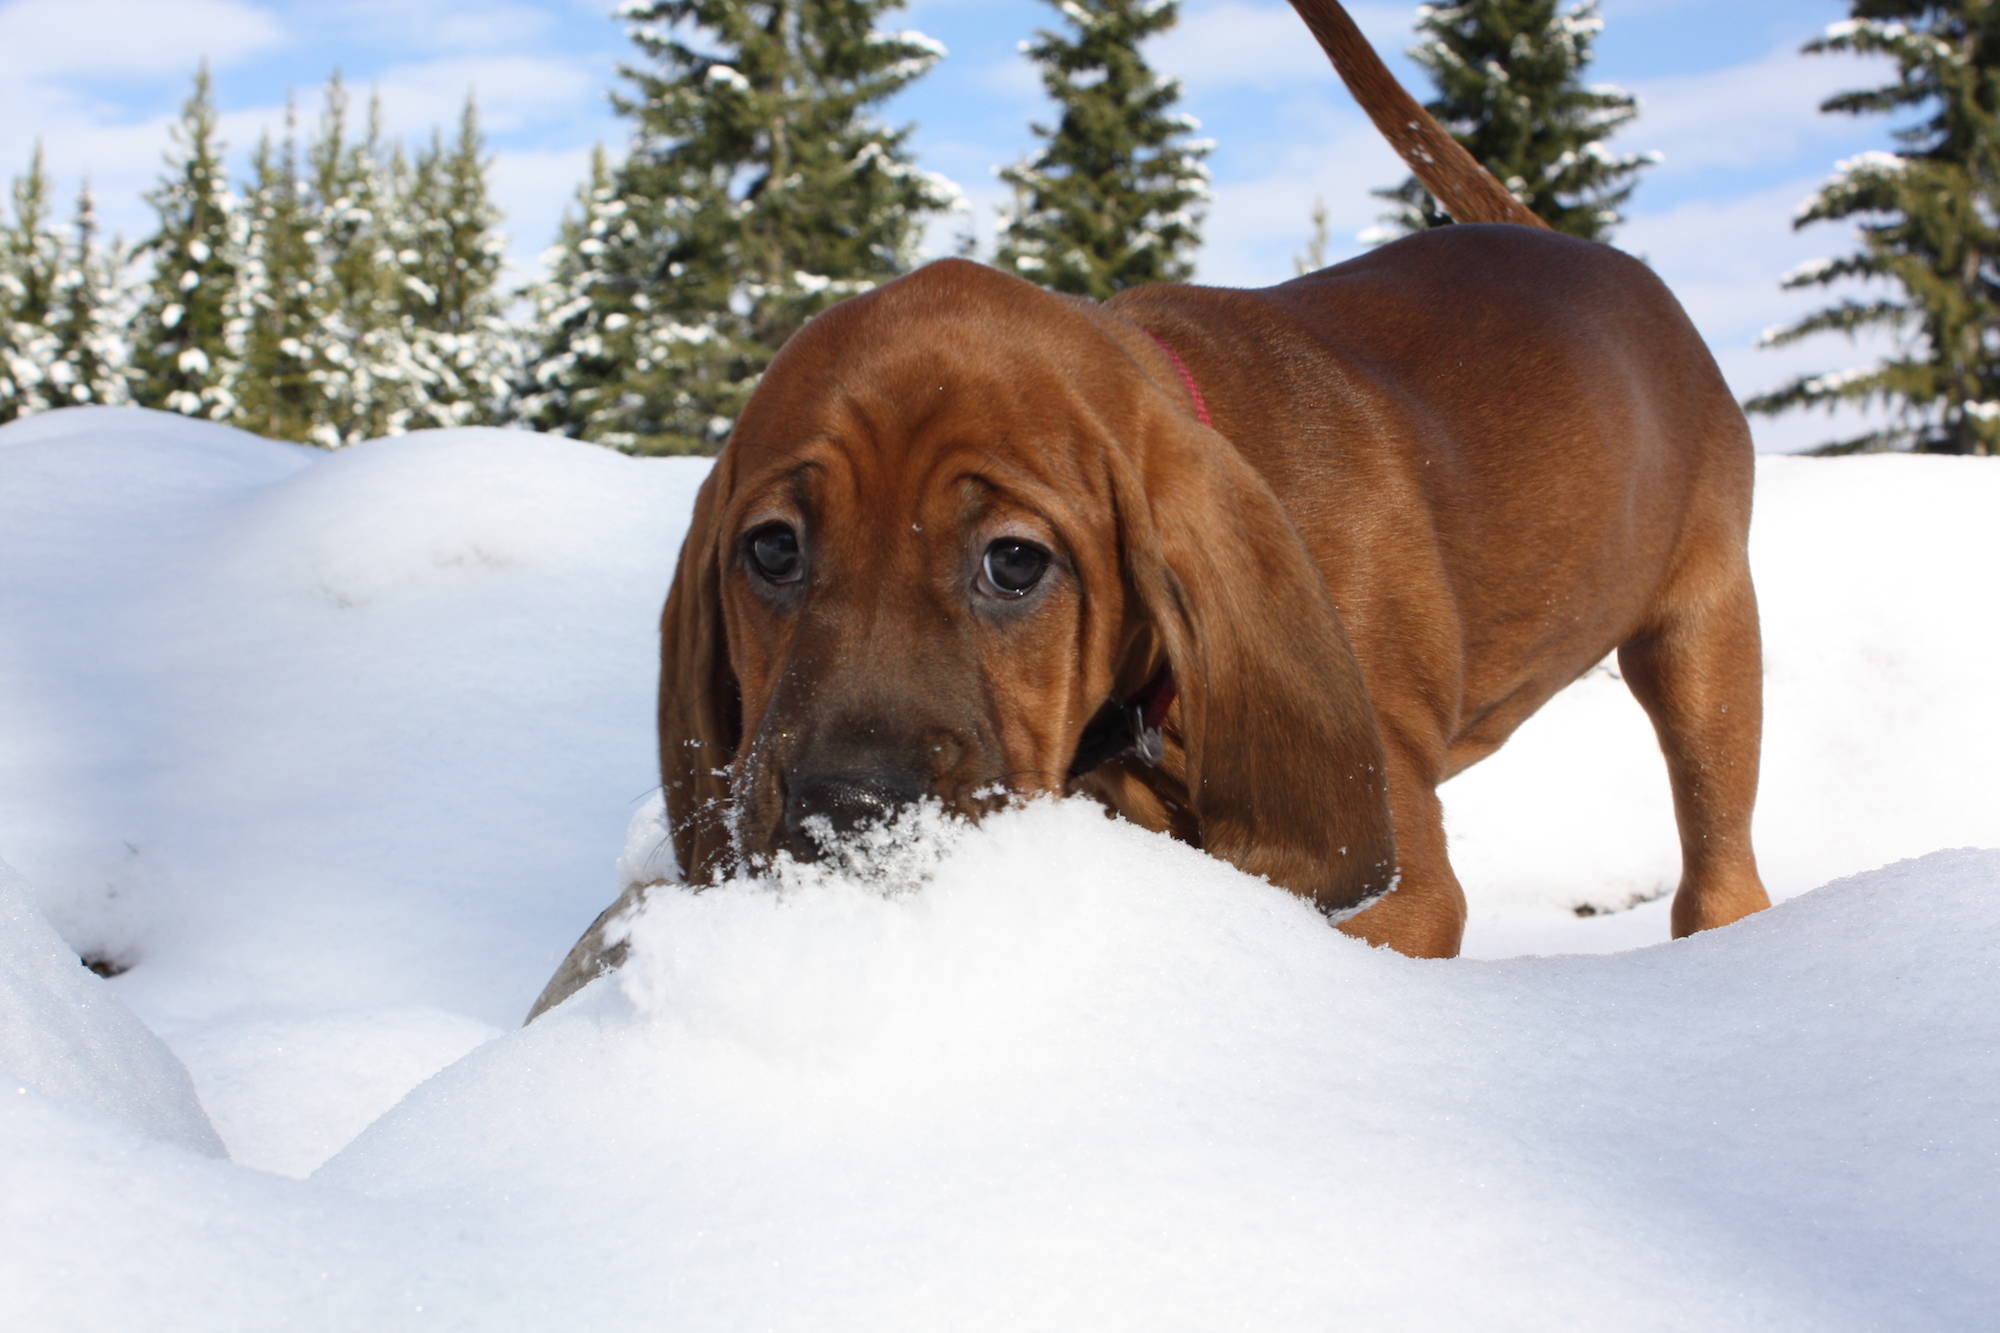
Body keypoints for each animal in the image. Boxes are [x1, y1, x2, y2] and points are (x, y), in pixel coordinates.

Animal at [528, 2, 1768, 1016]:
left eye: (1014, 562)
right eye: (773, 551)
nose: (841, 813)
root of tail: (1589, 253)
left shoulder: (1390, 892)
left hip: (1702, 631)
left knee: (1718, 858)